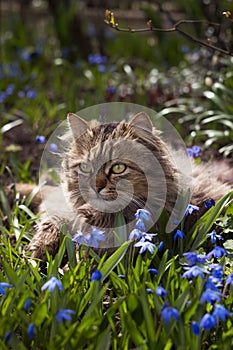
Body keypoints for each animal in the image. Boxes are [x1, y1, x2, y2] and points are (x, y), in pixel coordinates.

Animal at [5, 112, 231, 260]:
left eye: (118, 168)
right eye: (85, 167)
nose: (95, 187)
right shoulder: (61, 209)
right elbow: (50, 225)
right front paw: (33, 255)